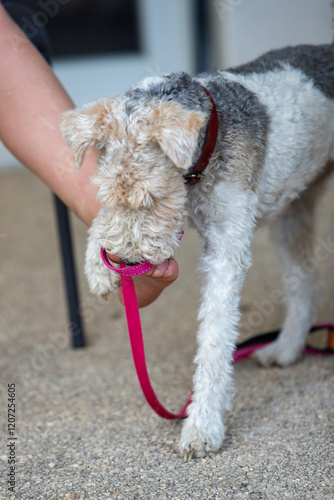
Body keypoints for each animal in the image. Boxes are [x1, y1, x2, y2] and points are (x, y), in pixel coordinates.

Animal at [60, 44, 334, 460]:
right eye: (105, 190)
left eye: (151, 196)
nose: (126, 261)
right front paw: (97, 269)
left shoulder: (226, 250)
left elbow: (214, 343)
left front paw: (202, 428)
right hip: (294, 212)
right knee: (304, 283)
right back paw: (285, 349)